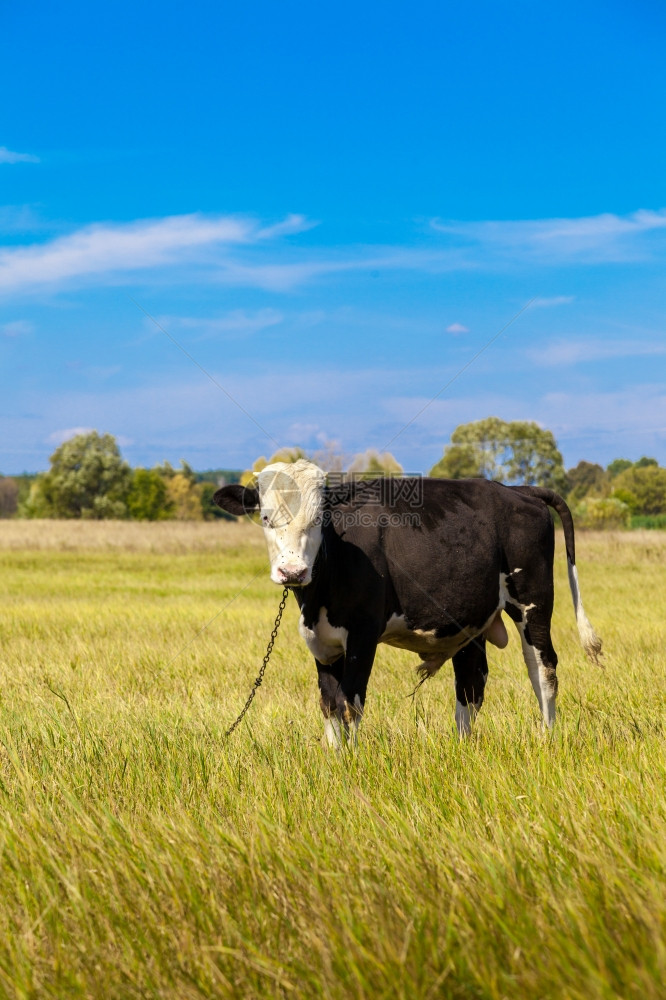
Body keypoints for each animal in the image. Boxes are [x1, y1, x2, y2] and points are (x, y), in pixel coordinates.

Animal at [215, 460, 600, 744]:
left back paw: (546, 738)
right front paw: (335, 759)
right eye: (266, 518)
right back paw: (462, 745)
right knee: (471, 681)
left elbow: (351, 702)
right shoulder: (320, 641)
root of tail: (517, 490)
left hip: (532, 600)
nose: (292, 571)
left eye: (319, 519)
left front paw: (352, 762)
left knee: (543, 668)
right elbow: (329, 704)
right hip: (470, 618)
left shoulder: (363, 634)